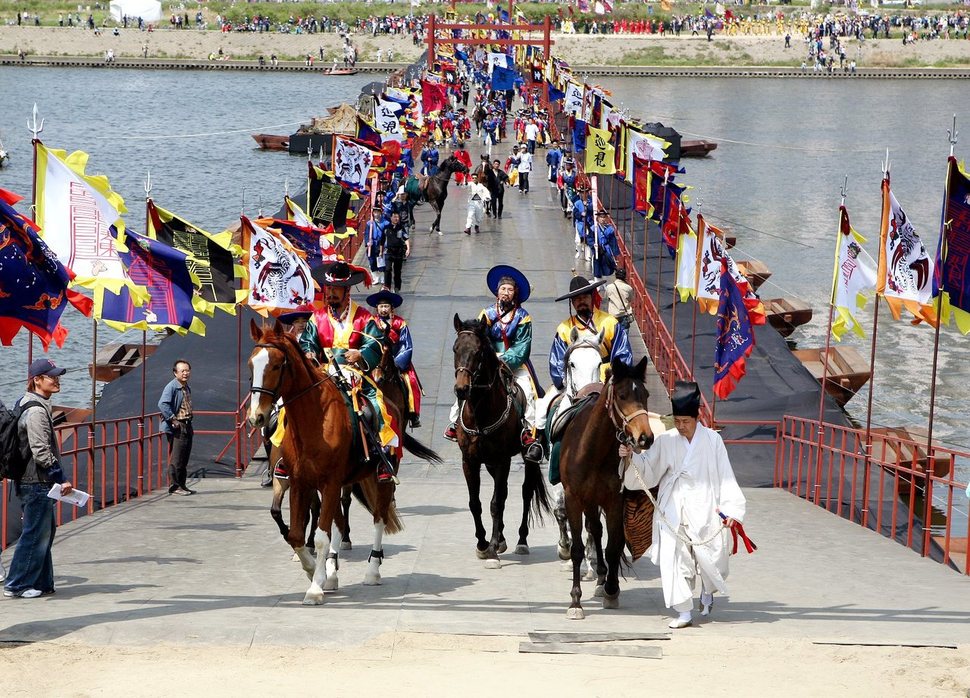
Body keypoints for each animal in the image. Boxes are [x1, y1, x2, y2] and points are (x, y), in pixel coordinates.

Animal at [246, 318, 438, 600]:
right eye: (251, 365)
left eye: (277, 365)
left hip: (380, 476)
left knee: (378, 517)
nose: (256, 416)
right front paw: (313, 570)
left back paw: (372, 571)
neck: (313, 420)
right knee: (337, 521)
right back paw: (332, 571)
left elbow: (321, 536)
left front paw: (315, 587)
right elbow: (296, 534)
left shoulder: (330, 481)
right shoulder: (301, 480)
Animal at [556, 356, 656, 616]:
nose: (645, 438)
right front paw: (575, 601)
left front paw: (611, 589)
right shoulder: (573, 498)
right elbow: (577, 548)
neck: (592, 451)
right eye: (622, 395)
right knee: (595, 530)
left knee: (601, 534)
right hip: (589, 501)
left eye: (646, 394)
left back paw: (604, 580)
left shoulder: (614, 500)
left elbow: (613, 547)